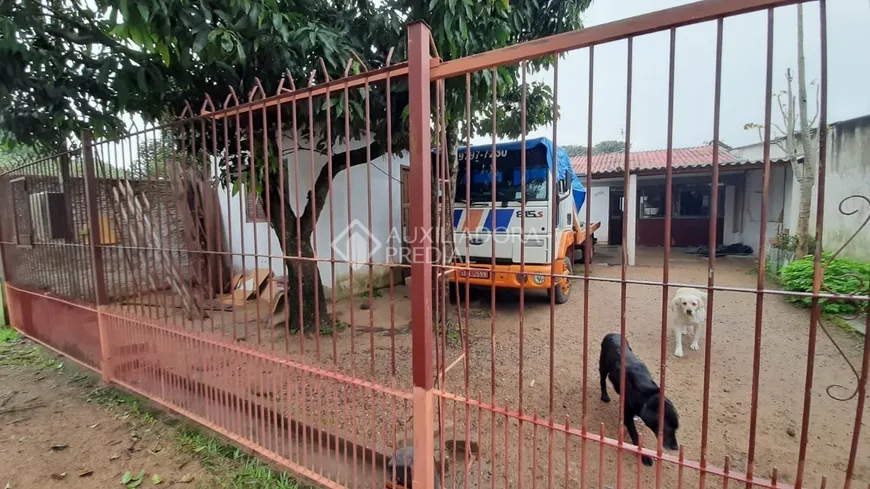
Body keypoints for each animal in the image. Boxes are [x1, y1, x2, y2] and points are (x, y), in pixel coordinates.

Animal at [600, 332, 680, 466]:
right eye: (667, 428)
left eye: (676, 428)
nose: (675, 448)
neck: (645, 395)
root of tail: (611, 334)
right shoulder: (627, 415)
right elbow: (636, 435)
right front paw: (645, 456)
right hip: (603, 366)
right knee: (602, 381)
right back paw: (604, 396)